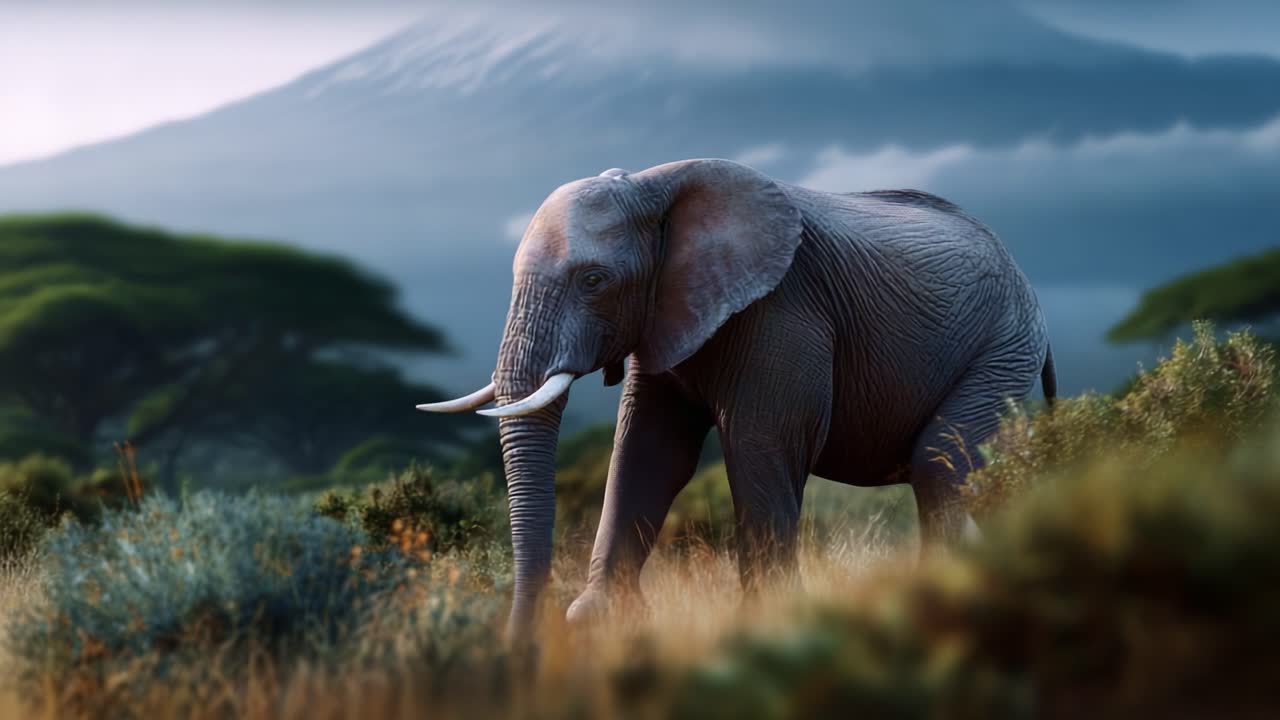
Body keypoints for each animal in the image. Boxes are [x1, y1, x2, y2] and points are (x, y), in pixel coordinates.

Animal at [419, 158, 1055, 645]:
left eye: (594, 280)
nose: (521, 653)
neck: (652, 186)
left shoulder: (784, 309)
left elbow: (759, 444)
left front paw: (772, 624)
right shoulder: (669, 314)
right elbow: (650, 452)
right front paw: (599, 622)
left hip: (1003, 346)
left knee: (938, 467)